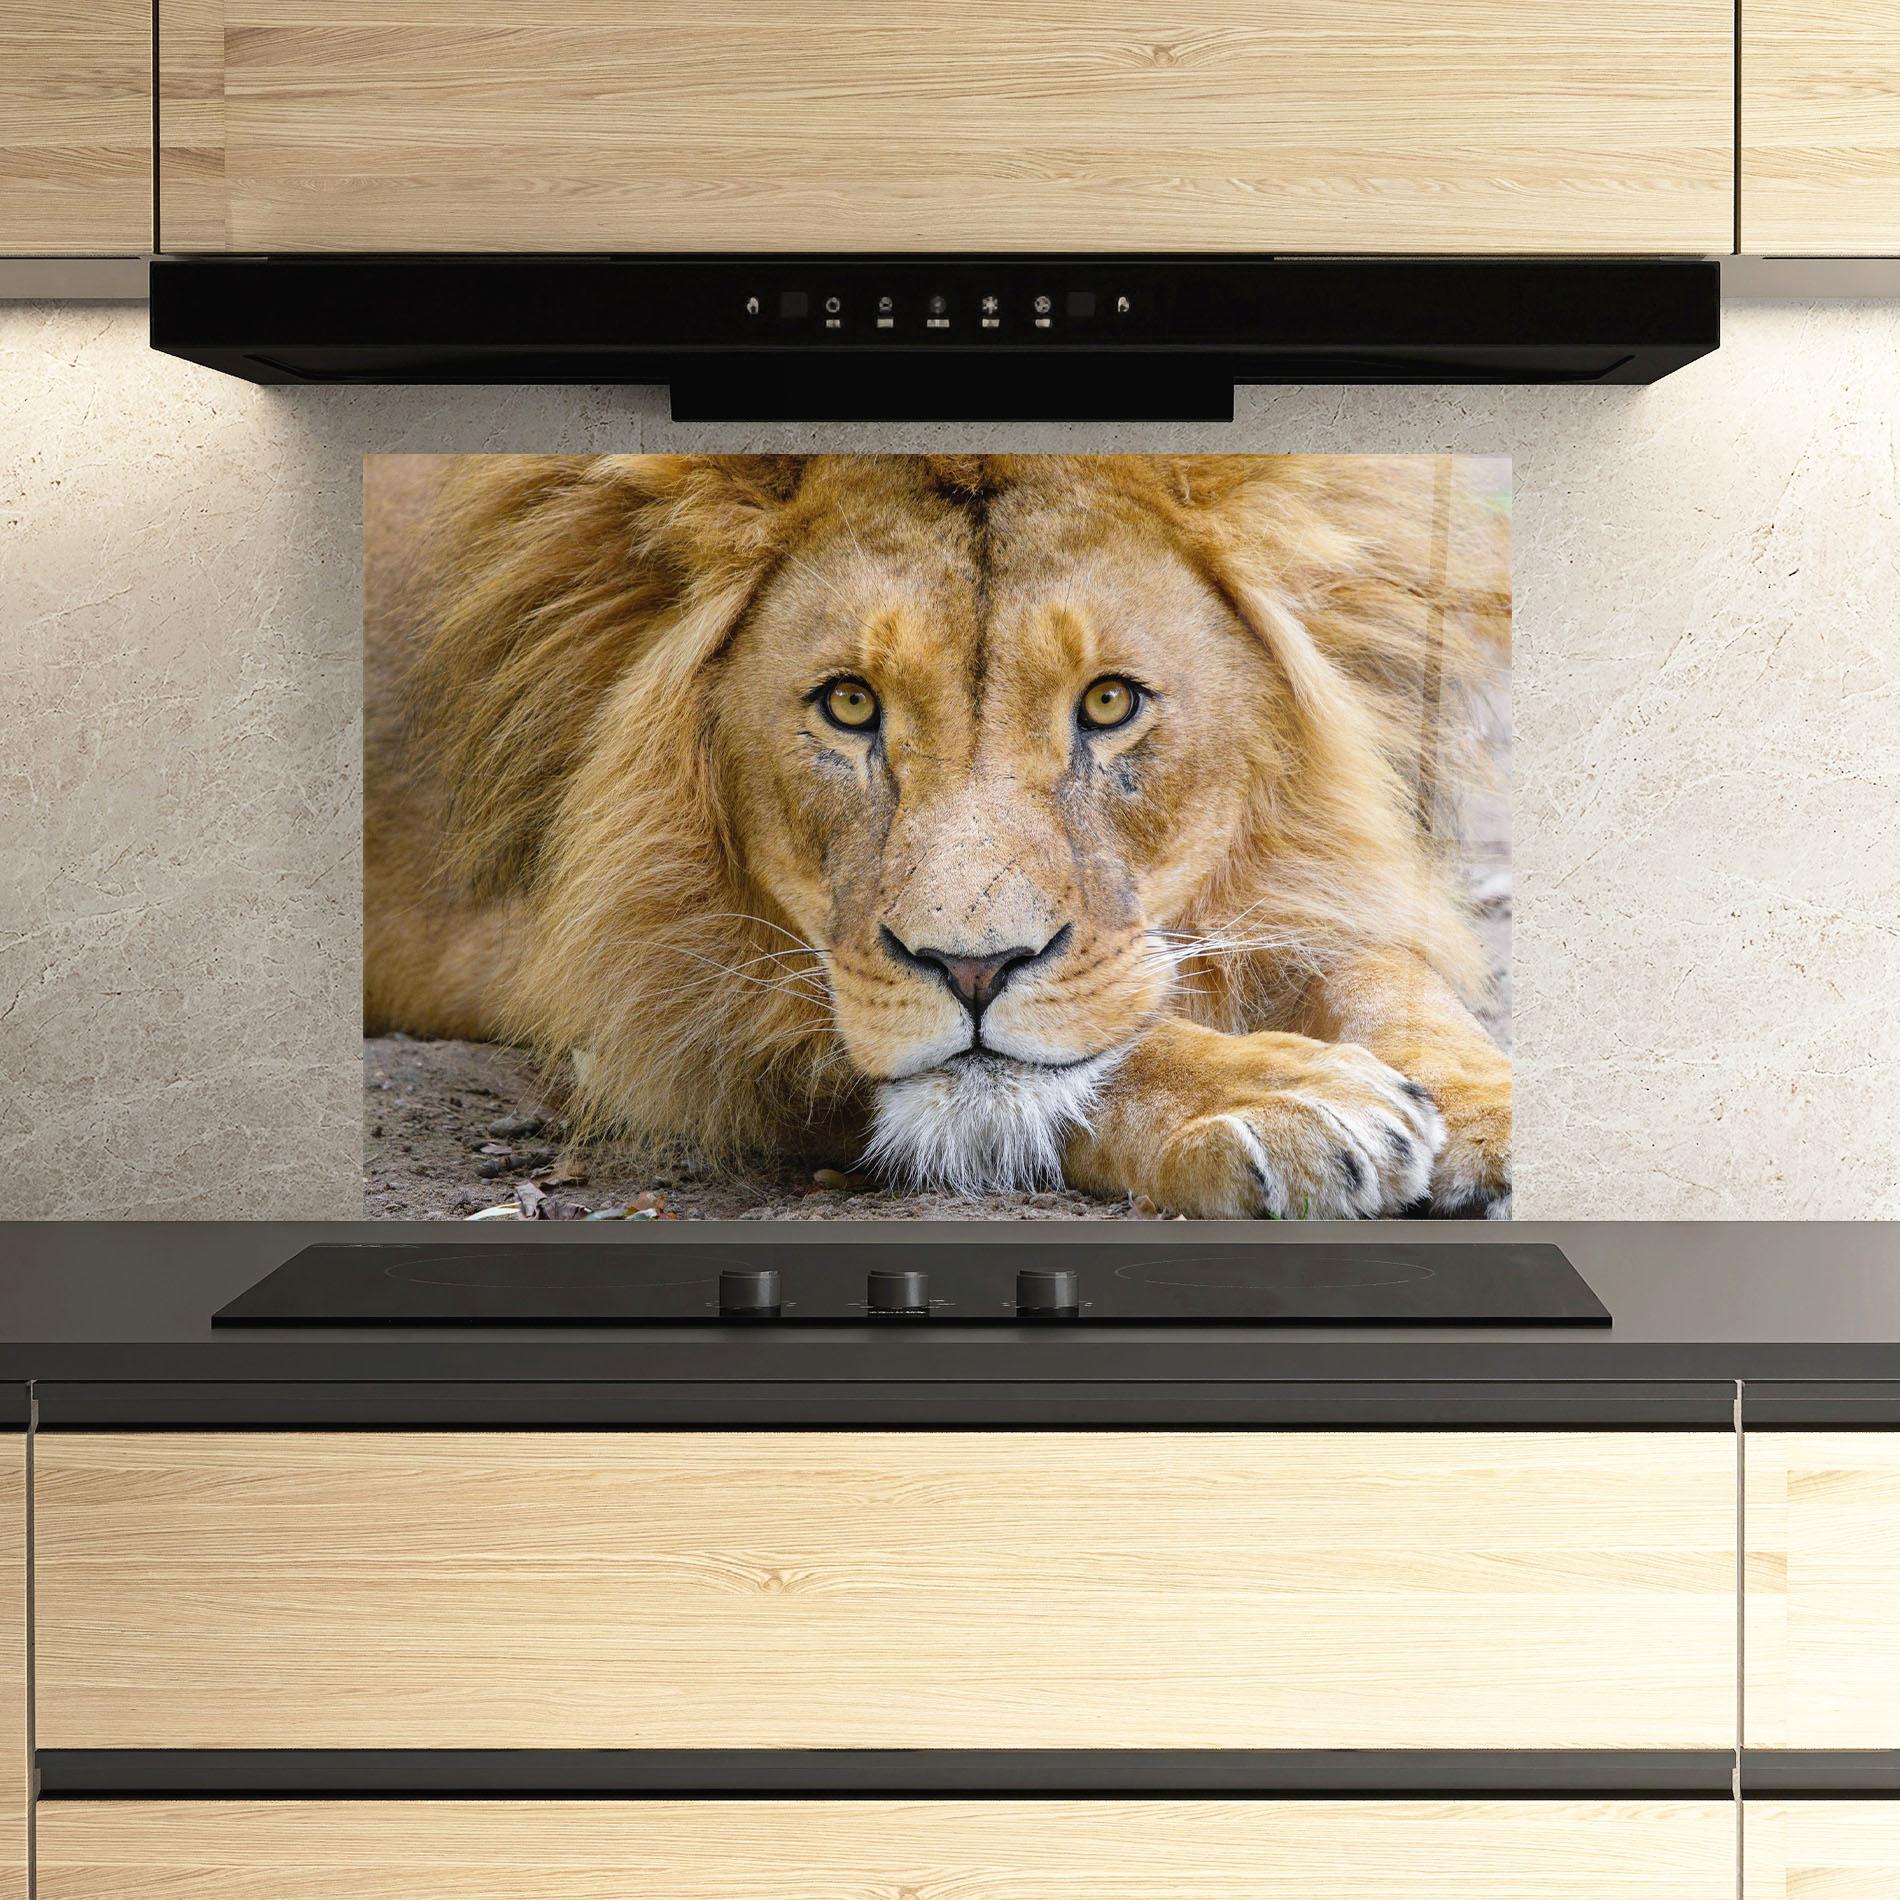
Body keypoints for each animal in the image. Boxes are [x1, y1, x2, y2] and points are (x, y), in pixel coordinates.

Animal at [364, 453, 1512, 1219]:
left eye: (1108, 702)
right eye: (848, 705)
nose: (973, 970)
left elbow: (1381, 973)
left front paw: (1493, 1108)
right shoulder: (650, 991)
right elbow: (1094, 1060)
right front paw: (1283, 1098)